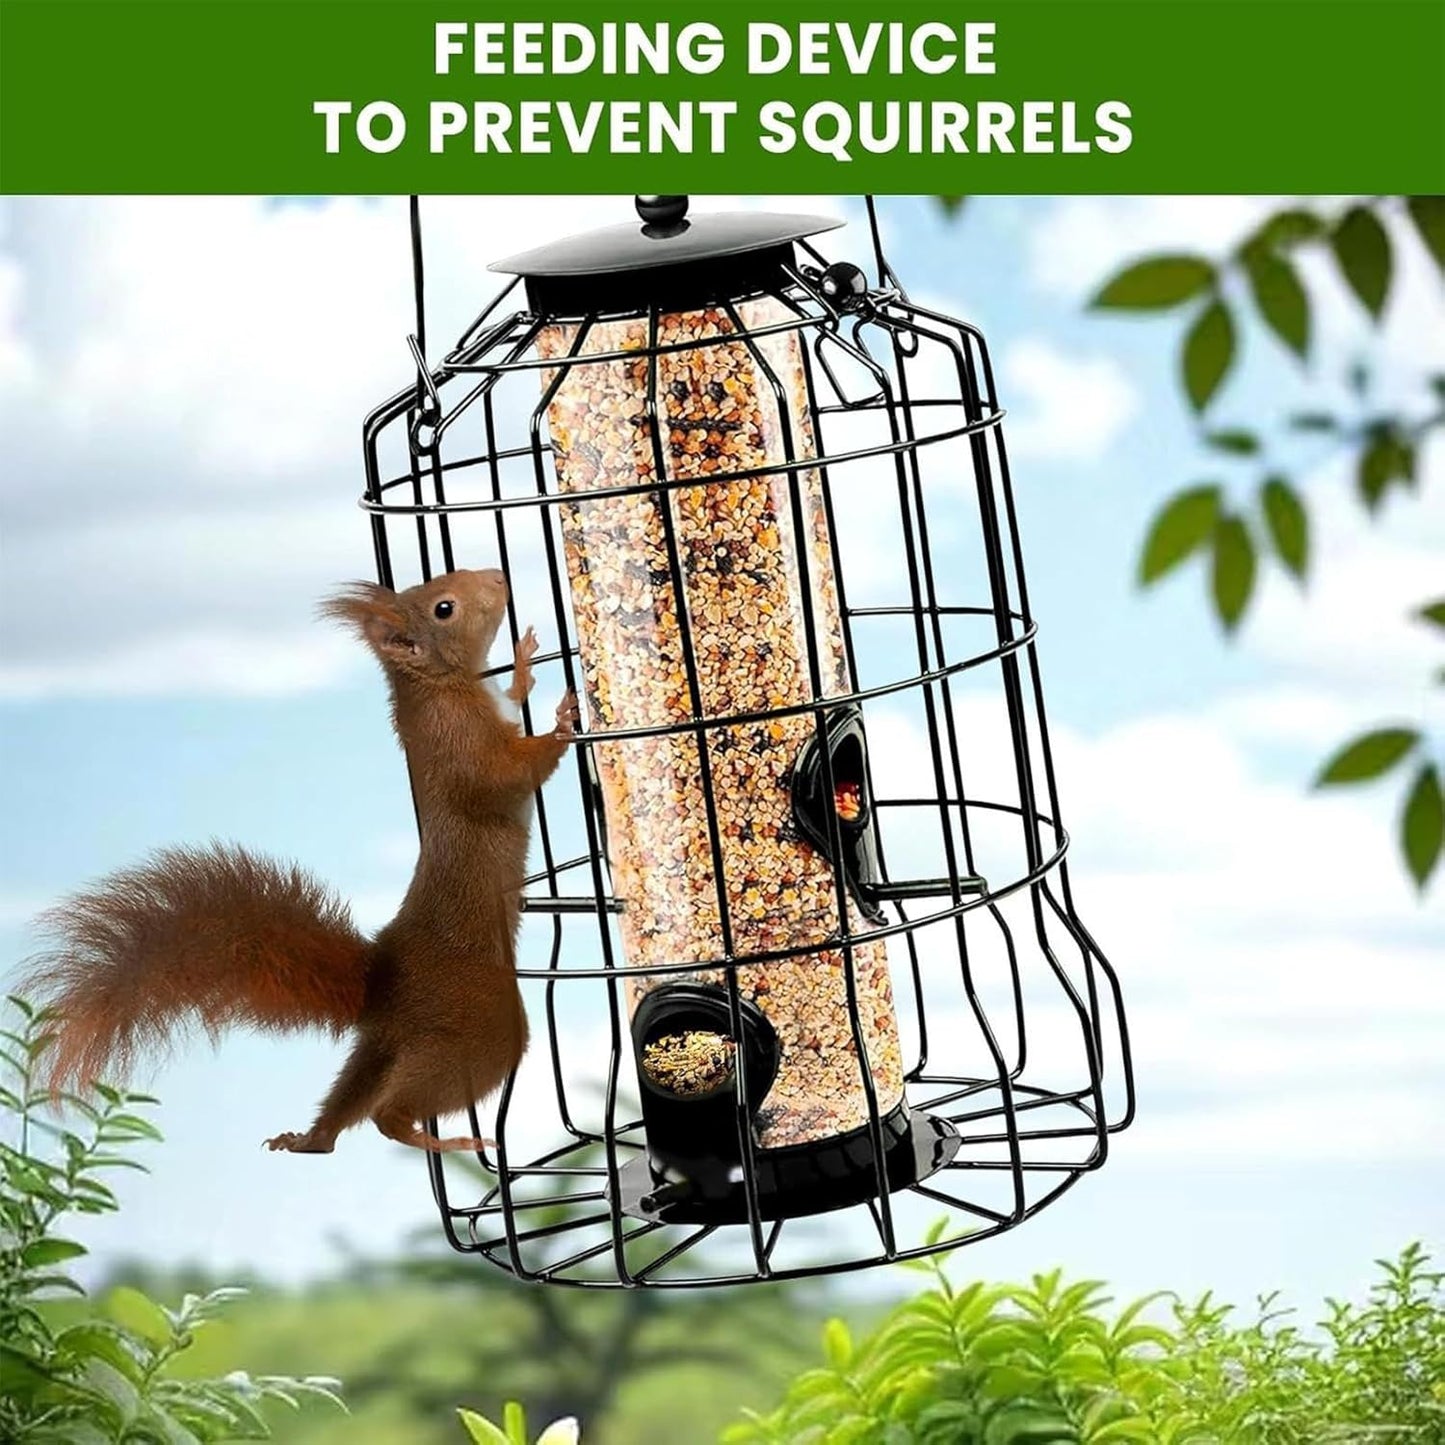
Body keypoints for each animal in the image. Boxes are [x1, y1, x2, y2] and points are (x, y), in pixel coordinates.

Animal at [20, 568, 578, 1155]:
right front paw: (562, 723)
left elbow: (512, 699)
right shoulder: (462, 746)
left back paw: (309, 1138)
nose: (498, 576)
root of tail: (381, 980)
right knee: (389, 1113)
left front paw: (523, 663)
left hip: (385, 1044)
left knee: (351, 1099)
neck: (439, 684)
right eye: (443, 607)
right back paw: (441, 1140)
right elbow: (507, 777)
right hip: (481, 1025)